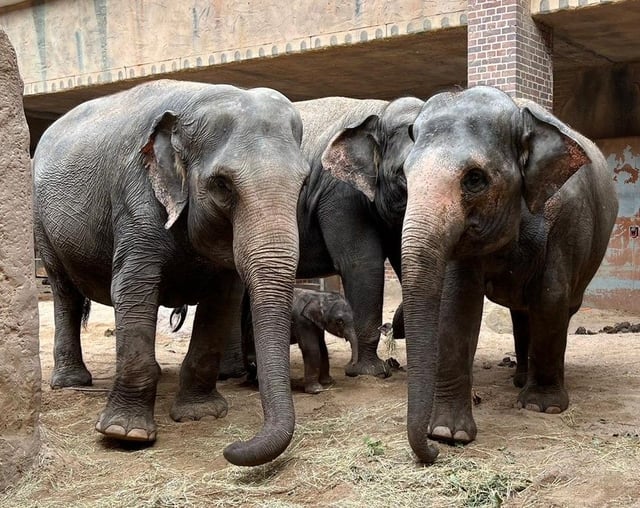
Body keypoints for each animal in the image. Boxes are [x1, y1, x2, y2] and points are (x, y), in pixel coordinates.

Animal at [33, 77, 308, 466]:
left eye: (303, 183)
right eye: (222, 185)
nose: (230, 448)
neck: (194, 102)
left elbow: (222, 299)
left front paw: (200, 415)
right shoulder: (136, 196)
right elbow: (133, 286)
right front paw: (124, 434)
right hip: (41, 224)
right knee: (65, 292)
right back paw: (72, 382)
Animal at [328, 86, 616, 464]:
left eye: (475, 179)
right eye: (405, 176)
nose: (431, 452)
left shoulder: (567, 219)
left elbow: (550, 297)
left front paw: (543, 407)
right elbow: (457, 304)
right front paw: (449, 433)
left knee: (557, 308)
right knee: (520, 314)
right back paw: (518, 378)